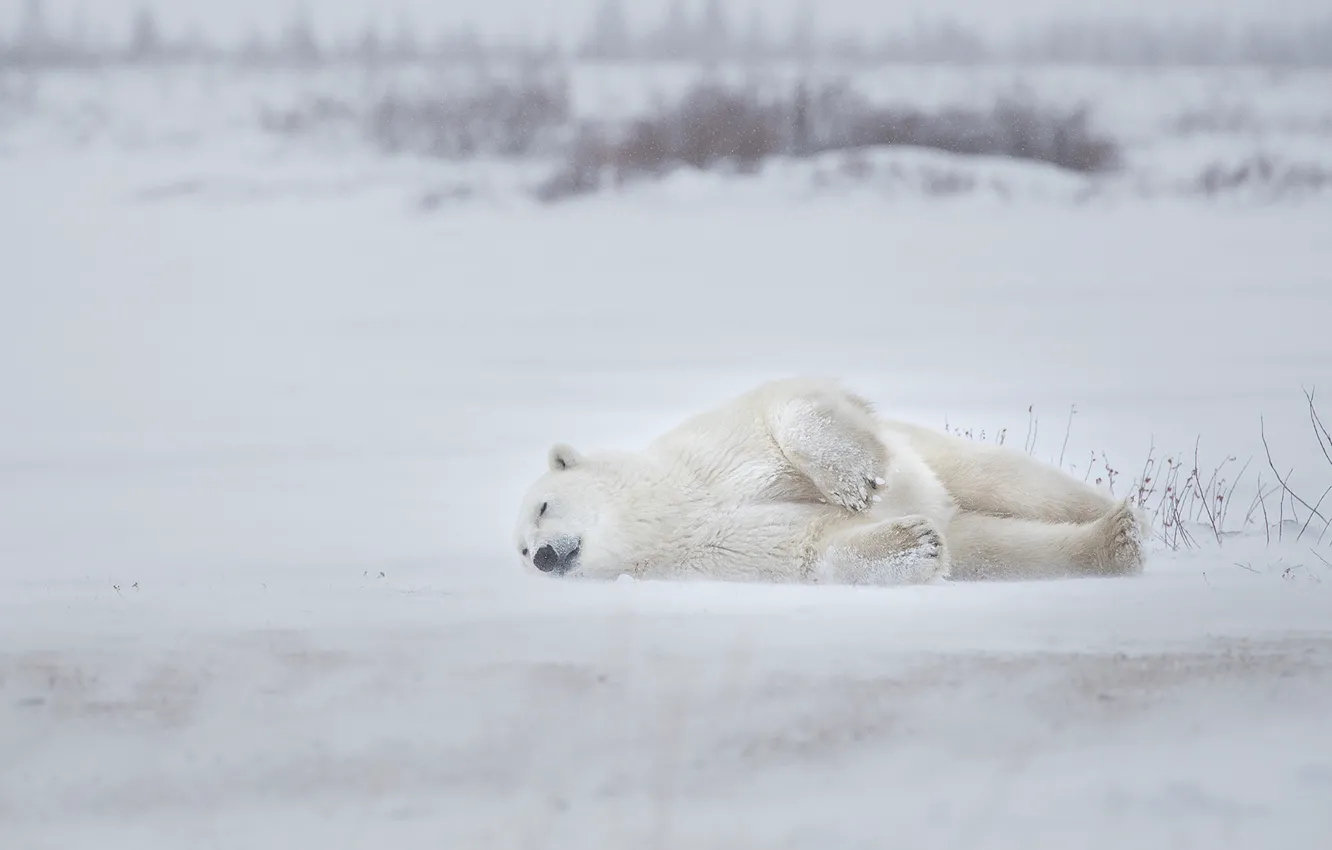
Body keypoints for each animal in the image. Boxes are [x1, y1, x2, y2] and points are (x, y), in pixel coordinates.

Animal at [512, 377, 1146, 585]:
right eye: (519, 551)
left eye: (542, 507)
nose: (542, 557)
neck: (668, 507)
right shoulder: (706, 550)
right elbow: (808, 547)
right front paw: (913, 544)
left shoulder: (709, 452)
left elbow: (789, 406)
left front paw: (853, 483)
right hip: (970, 526)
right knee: (998, 547)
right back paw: (1114, 543)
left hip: (932, 455)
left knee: (1012, 480)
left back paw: (1116, 516)